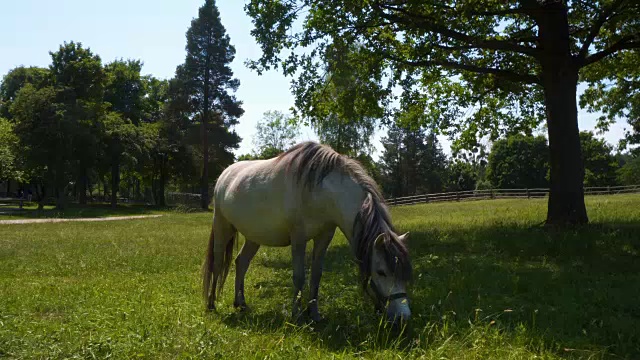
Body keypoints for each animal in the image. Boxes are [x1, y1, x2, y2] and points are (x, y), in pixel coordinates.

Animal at [205, 141, 416, 324]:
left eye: (404, 271)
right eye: (381, 272)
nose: (403, 317)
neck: (320, 191)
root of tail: (225, 175)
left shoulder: (324, 237)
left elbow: (316, 275)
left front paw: (314, 314)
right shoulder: (298, 238)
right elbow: (299, 277)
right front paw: (297, 315)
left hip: (253, 236)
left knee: (241, 263)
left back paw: (240, 304)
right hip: (222, 227)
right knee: (217, 264)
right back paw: (211, 304)